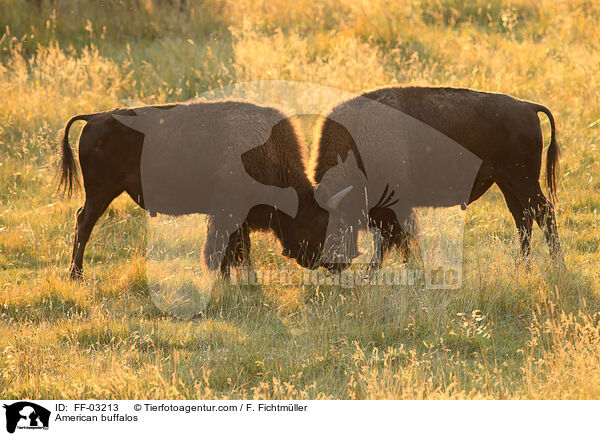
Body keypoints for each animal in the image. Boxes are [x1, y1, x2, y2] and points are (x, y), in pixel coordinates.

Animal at [57, 101, 328, 280]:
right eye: (316, 221)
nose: (327, 262)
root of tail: (94, 117)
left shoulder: (236, 217)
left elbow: (239, 247)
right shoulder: (227, 213)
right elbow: (224, 247)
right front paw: (225, 278)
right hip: (101, 192)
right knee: (84, 222)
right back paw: (76, 275)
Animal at [312, 85, 564, 270]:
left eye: (330, 222)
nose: (328, 263)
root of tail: (528, 107)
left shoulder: (394, 208)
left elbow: (397, 241)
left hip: (523, 182)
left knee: (544, 213)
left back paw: (556, 265)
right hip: (508, 184)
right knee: (523, 219)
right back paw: (523, 267)